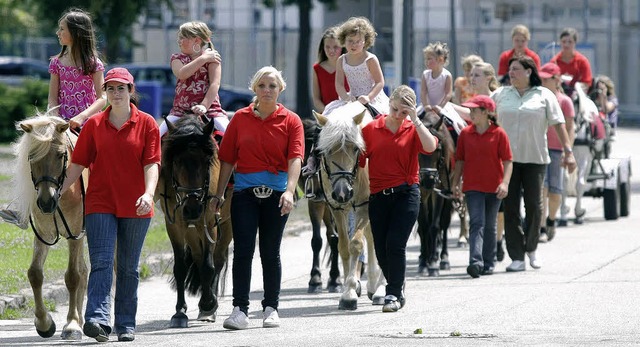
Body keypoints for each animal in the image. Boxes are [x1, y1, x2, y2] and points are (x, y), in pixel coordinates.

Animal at [10, 113, 87, 342]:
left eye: (61, 155)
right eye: (31, 156)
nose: (46, 202)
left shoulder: (75, 233)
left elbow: (72, 276)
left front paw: (72, 325)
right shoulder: (43, 234)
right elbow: (35, 274)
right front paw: (44, 324)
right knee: (85, 270)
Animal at [158, 115, 232, 328]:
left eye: (207, 161)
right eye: (176, 162)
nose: (192, 209)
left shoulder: (209, 221)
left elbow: (209, 266)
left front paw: (208, 304)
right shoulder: (174, 225)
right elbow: (180, 268)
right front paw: (179, 312)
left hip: (226, 224)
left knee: (218, 259)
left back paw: (209, 305)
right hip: (192, 229)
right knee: (199, 257)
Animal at [312, 102, 382, 312]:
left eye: (355, 149)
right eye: (326, 150)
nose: (342, 192)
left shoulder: (365, 205)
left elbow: (356, 244)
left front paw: (350, 292)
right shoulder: (336, 208)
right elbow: (343, 246)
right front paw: (347, 290)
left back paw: (379, 286)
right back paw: (373, 285)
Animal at [416, 109, 460, 278]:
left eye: (438, 149)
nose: (428, 180)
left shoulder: (439, 192)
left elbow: (435, 226)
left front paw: (434, 263)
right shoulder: (421, 193)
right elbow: (424, 225)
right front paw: (424, 261)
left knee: (444, 223)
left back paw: (443, 259)